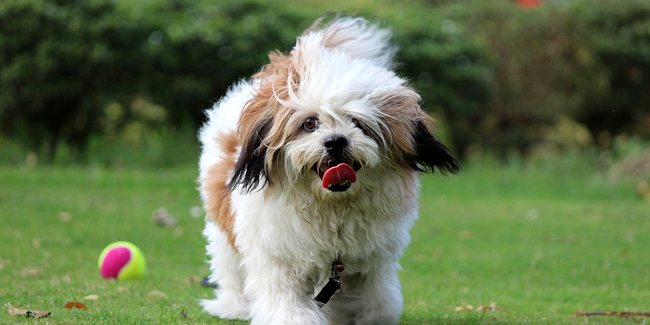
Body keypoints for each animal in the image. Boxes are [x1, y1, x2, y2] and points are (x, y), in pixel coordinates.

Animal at [196, 15, 456, 324]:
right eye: (310, 123)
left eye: (357, 123)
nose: (335, 141)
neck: (331, 207)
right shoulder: (277, 256)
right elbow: (287, 306)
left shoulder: (371, 262)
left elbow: (377, 302)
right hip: (224, 230)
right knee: (229, 266)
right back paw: (233, 306)